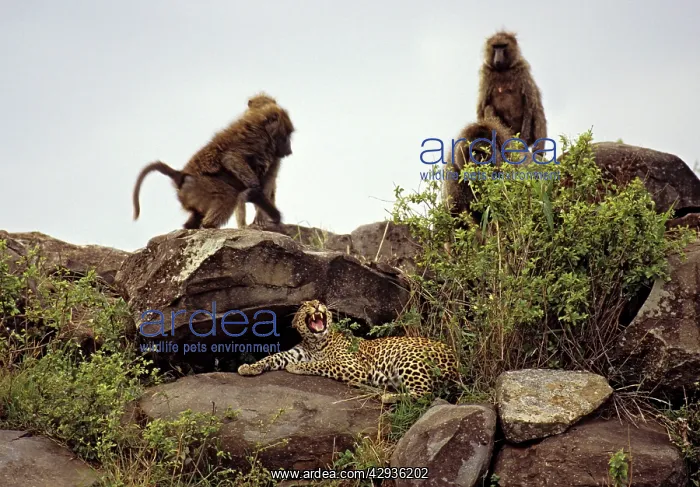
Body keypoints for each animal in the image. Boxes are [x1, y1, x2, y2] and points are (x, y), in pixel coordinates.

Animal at [237, 300, 460, 404]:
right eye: (304, 305)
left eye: (319, 302)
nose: (316, 304)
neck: (316, 342)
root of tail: (457, 364)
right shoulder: (294, 352)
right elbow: (273, 357)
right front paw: (248, 367)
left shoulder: (354, 366)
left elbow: (322, 363)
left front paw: (297, 367)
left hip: (409, 358)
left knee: (426, 394)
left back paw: (388, 397)